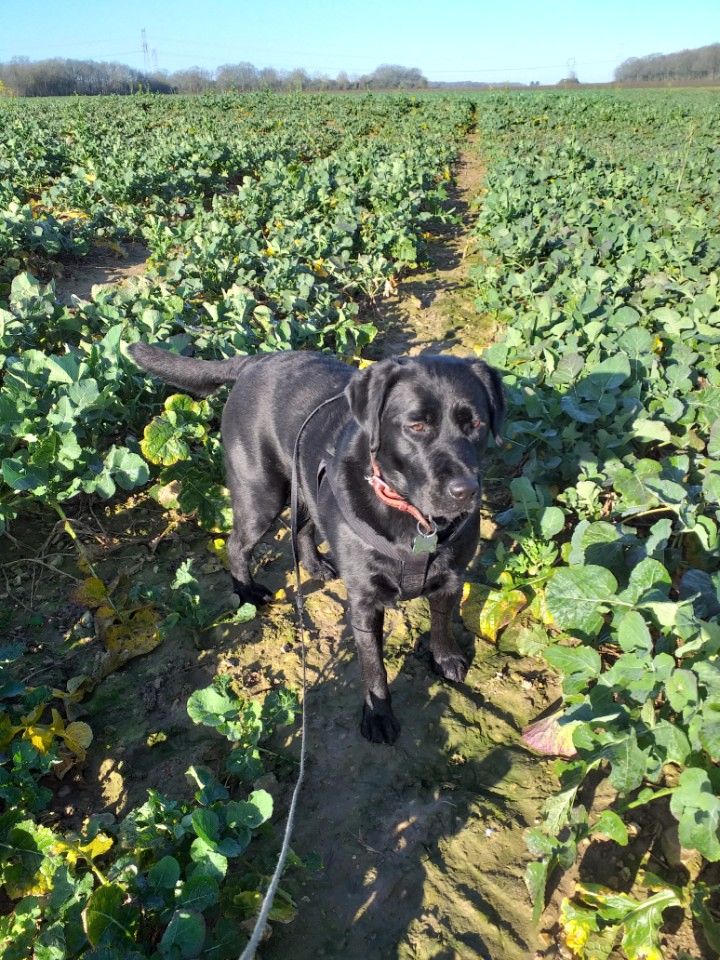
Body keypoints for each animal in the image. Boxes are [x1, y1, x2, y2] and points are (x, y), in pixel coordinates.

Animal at [126, 348, 504, 748]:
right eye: (416, 426)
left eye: (476, 423)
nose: (465, 491)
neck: (414, 519)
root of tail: (254, 360)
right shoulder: (364, 604)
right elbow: (374, 668)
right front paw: (378, 714)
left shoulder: (451, 579)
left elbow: (442, 621)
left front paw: (445, 657)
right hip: (261, 495)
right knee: (236, 544)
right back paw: (245, 591)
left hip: (303, 484)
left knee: (302, 529)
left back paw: (314, 565)